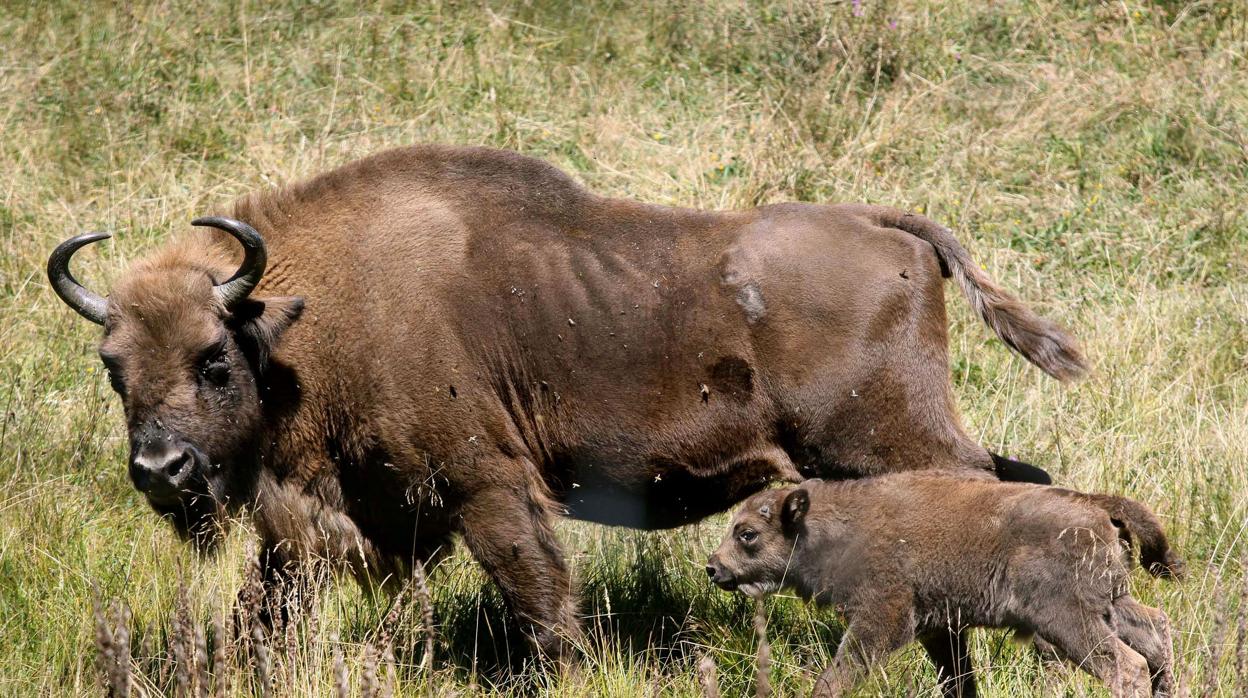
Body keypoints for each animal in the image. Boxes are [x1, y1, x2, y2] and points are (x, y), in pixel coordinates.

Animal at [48, 144, 1083, 659]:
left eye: (215, 358)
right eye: (112, 364)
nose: (160, 469)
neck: (310, 312)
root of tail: (886, 228)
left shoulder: (488, 489)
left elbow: (540, 600)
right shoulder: (339, 519)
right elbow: (262, 612)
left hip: (885, 443)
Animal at [708, 474, 1183, 698]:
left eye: (747, 533)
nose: (714, 568)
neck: (832, 527)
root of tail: (1094, 504)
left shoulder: (885, 617)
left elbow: (842, 670)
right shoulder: (939, 629)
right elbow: (957, 679)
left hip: (1067, 620)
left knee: (1126, 664)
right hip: (1113, 603)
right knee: (1155, 633)